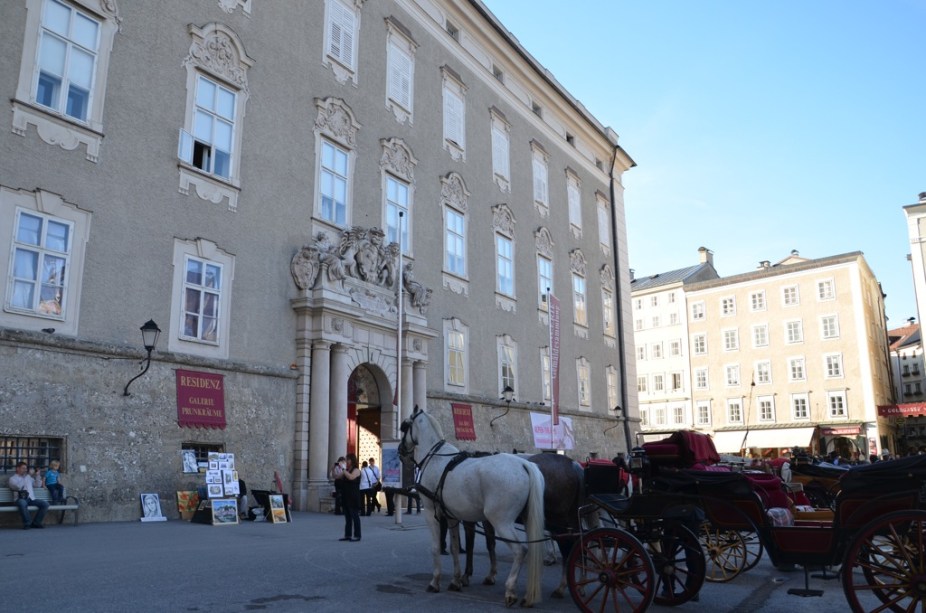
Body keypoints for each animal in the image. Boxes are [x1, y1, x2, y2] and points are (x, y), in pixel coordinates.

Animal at [396, 406, 544, 608]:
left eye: (404, 426)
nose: (400, 450)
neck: (435, 458)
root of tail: (523, 463)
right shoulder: (451, 516)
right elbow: (455, 547)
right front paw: (456, 580)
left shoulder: (431, 512)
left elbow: (435, 547)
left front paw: (435, 581)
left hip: (501, 522)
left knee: (520, 551)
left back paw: (510, 590)